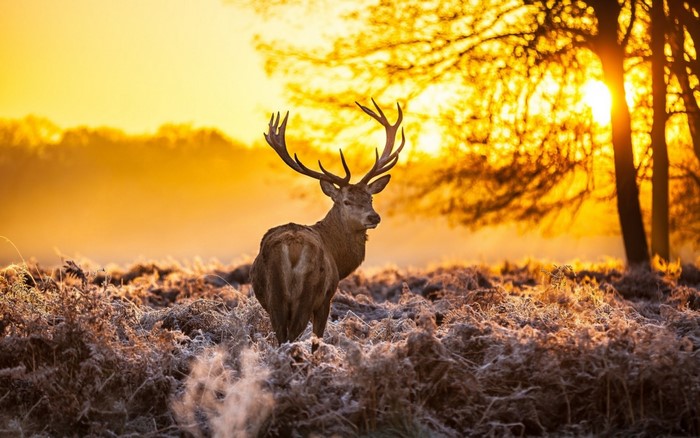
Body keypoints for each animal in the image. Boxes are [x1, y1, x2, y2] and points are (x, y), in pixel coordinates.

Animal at [250, 99, 405, 349]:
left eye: (370, 198)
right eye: (346, 201)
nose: (374, 217)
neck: (338, 258)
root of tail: (292, 248)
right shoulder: (327, 298)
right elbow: (317, 339)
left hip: (275, 298)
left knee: (281, 337)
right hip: (309, 293)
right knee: (293, 336)